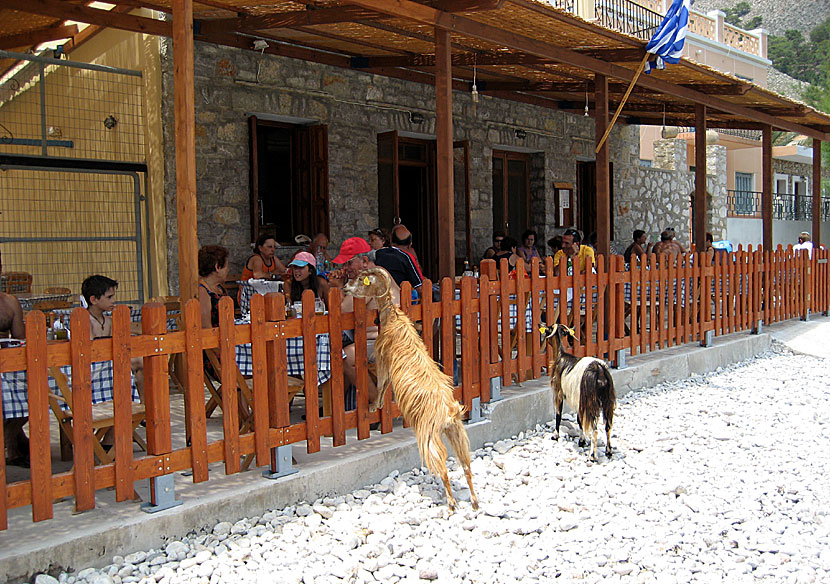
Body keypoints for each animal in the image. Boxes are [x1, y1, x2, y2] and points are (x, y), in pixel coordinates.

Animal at [346, 266, 480, 508]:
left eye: (362, 279)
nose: (344, 287)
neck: (393, 317)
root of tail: (450, 412)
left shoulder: (382, 359)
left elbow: (382, 383)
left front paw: (374, 406)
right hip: (457, 432)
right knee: (466, 464)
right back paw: (473, 502)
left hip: (428, 434)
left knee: (441, 466)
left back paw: (451, 504)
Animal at [540, 322, 616, 458]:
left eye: (548, 329)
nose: (541, 324)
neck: (560, 356)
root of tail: (600, 372)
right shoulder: (578, 400)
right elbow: (579, 420)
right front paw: (581, 441)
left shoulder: (559, 393)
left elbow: (558, 414)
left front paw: (555, 436)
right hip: (607, 400)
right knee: (608, 426)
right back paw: (608, 451)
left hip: (591, 402)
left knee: (595, 428)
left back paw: (592, 455)